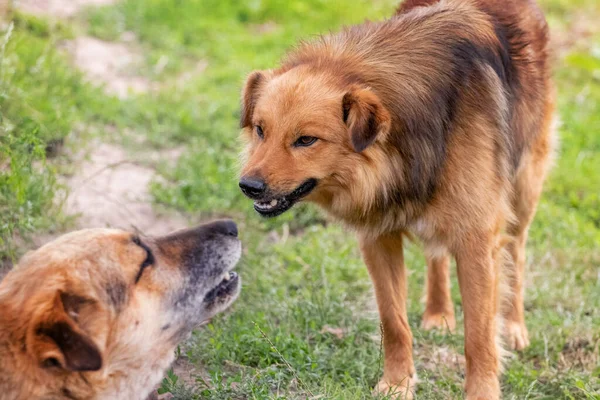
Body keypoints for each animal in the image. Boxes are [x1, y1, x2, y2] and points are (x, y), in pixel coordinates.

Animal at [238, 1, 552, 398]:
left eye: (306, 140)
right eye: (260, 130)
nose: (248, 186)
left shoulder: (477, 241)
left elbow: (479, 338)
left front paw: (481, 390)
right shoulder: (377, 234)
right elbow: (393, 321)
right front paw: (397, 383)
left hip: (523, 188)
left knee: (516, 253)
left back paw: (513, 326)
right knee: (437, 254)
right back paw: (438, 312)